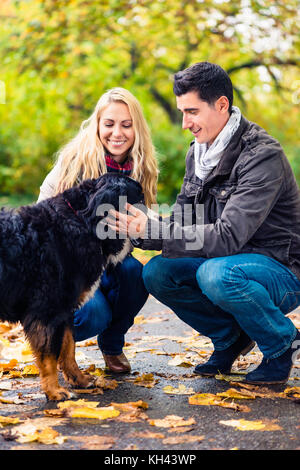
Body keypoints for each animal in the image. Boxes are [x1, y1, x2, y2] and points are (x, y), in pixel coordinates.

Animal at [0, 173, 144, 400]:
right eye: (139, 197)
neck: (81, 222)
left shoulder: (66, 309)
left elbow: (68, 348)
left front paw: (80, 380)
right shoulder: (47, 311)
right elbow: (49, 355)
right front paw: (54, 391)